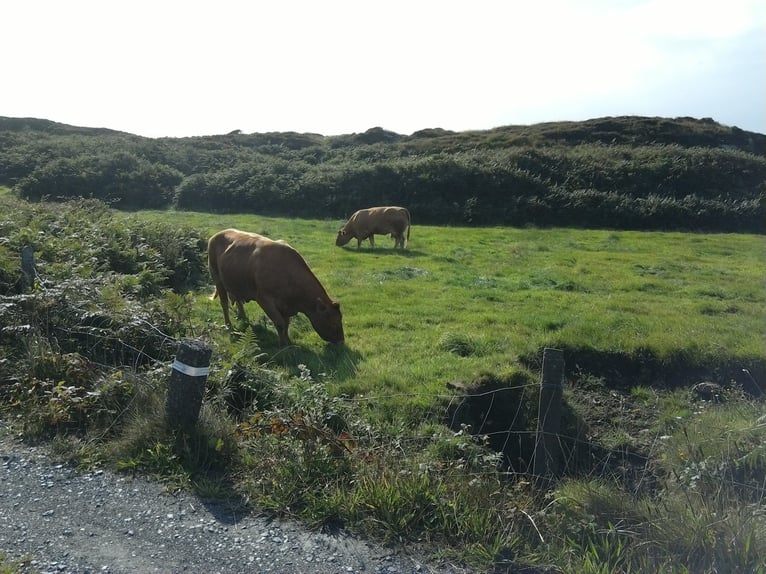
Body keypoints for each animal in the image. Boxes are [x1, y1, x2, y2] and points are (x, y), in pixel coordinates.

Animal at [207, 228, 344, 346]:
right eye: (334, 322)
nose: (341, 342)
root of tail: (218, 234)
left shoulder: (286, 305)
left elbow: (286, 324)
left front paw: (288, 342)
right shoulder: (264, 299)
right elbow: (280, 323)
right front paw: (283, 345)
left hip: (235, 281)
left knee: (238, 299)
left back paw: (243, 317)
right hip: (217, 278)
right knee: (224, 303)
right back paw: (228, 325)